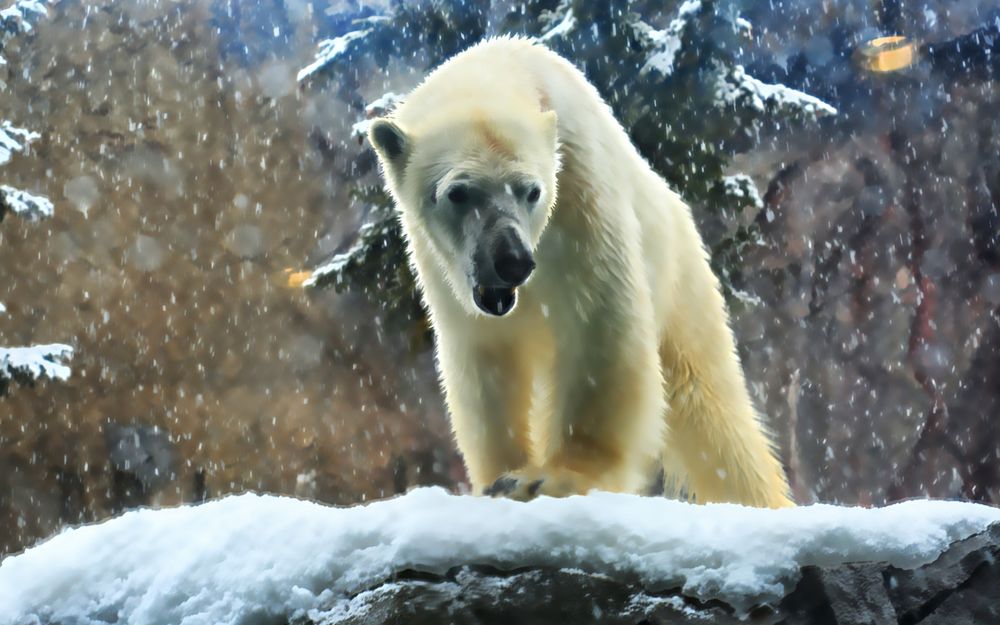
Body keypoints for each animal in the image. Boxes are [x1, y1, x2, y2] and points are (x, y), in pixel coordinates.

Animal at [367, 36, 793, 508]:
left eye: (531, 191)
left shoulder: (578, 189)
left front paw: (551, 477)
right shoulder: (440, 266)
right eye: (458, 193)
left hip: (678, 275)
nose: (512, 261)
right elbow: (486, 351)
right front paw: (499, 477)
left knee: (708, 402)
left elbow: (600, 323)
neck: (502, 66)